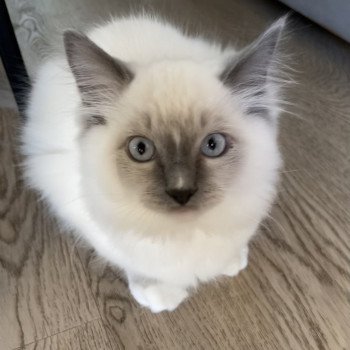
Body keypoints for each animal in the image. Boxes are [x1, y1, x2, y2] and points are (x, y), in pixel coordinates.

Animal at [21, 15, 286, 314]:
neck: (181, 234)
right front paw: (158, 294)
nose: (181, 191)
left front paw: (231, 261)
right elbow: (135, 262)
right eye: (141, 149)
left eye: (213, 145)